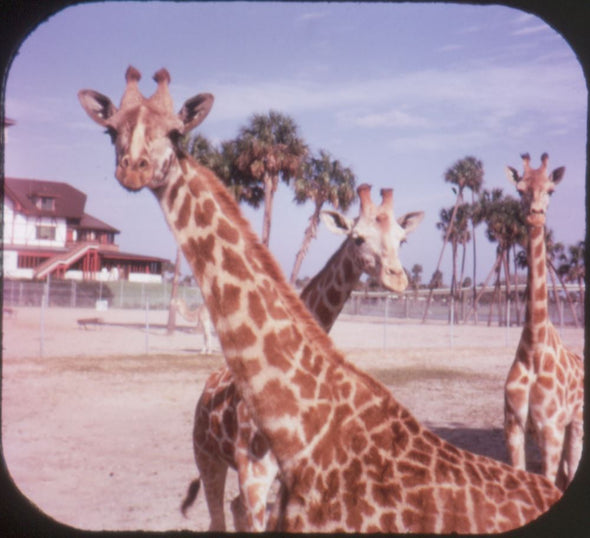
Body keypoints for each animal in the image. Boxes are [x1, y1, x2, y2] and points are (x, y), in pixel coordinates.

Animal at [180, 183, 426, 528]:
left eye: (402, 239)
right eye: (357, 238)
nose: (397, 278)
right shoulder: (253, 475)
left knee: (234, 507)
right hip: (206, 456)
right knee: (219, 517)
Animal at [504, 153, 588, 488]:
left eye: (551, 190)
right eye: (520, 189)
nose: (535, 216)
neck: (533, 348)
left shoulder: (550, 429)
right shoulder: (513, 425)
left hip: (576, 421)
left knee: (573, 463)